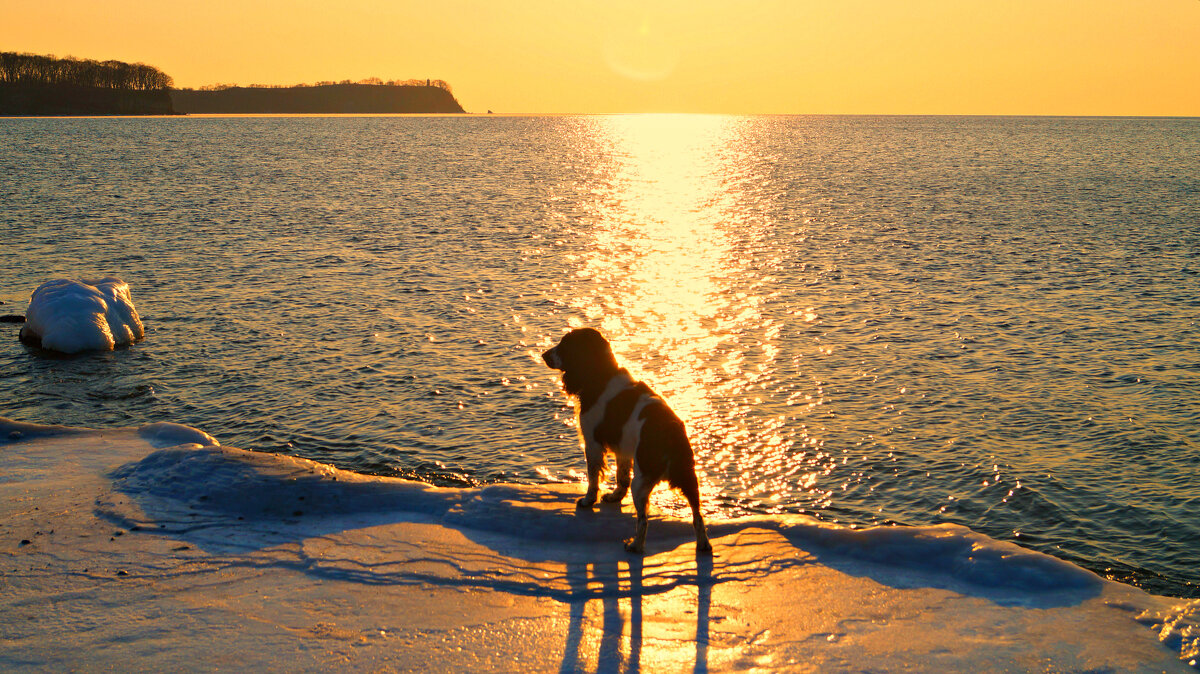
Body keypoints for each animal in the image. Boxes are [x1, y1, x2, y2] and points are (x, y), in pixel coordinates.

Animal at [544, 326, 710, 551]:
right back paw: (703, 545)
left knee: (643, 520)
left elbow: (593, 477)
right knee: (697, 515)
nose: (544, 355)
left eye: (565, 344)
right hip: (687, 476)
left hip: (641, 482)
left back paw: (635, 546)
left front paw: (588, 500)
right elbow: (621, 476)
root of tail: (671, 434)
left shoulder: (592, 443)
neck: (602, 375)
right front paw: (614, 497)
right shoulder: (623, 448)